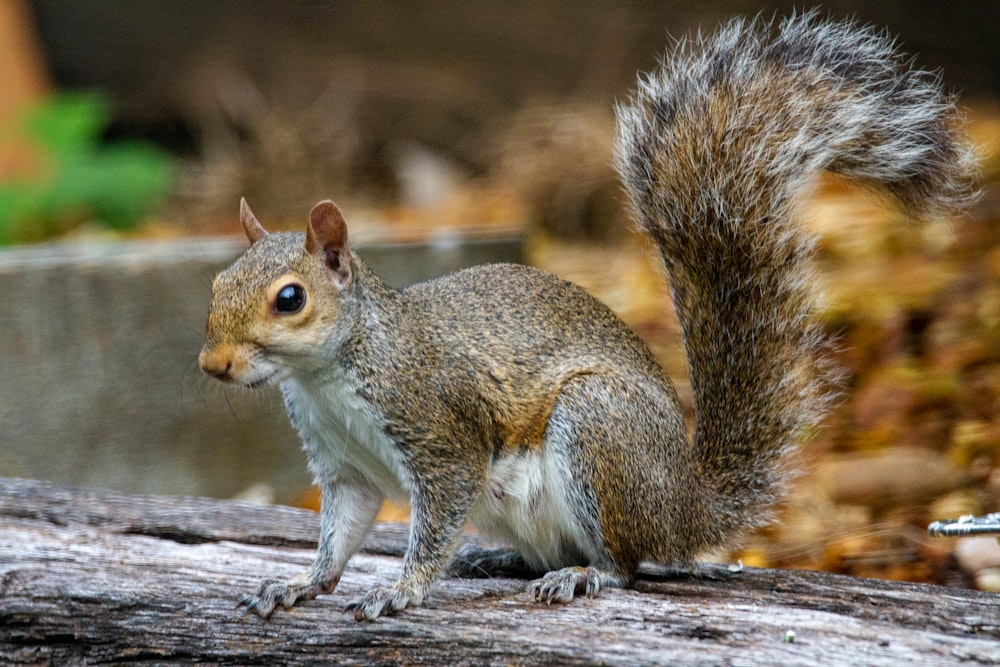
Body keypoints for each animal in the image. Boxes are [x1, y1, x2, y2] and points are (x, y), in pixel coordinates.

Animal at [199, 13, 972, 624]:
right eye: (215, 284)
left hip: (598, 431)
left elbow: (436, 518)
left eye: (290, 298)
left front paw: (402, 589)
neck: (329, 373)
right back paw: (501, 561)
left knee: (629, 564)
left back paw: (581, 573)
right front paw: (299, 585)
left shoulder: (441, 433)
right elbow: (338, 537)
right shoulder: (344, 468)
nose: (212, 365)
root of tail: (686, 506)